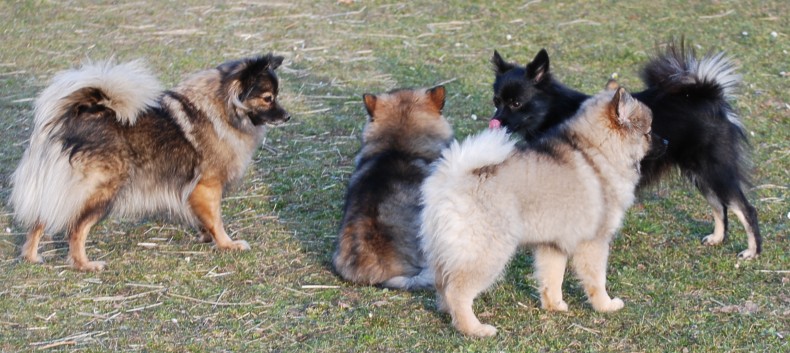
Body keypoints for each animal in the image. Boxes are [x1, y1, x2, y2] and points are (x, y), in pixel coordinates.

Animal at [10, 53, 290, 270]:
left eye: (276, 95)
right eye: (268, 98)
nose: (287, 116)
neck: (222, 108)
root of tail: (72, 117)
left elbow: (203, 217)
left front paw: (205, 236)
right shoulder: (208, 186)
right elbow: (216, 219)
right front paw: (227, 243)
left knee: (39, 220)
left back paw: (32, 256)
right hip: (102, 191)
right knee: (76, 229)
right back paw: (85, 264)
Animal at [492, 41, 764, 258]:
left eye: (516, 103)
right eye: (497, 101)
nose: (494, 121)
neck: (553, 110)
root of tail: (709, 94)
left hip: (715, 170)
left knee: (745, 208)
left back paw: (752, 251)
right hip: (699, 173)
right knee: (720, 206)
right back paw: (718, 238)